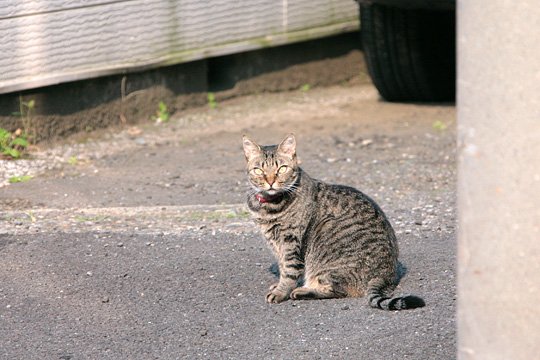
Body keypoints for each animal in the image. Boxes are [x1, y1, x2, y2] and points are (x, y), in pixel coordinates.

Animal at [243, 134, 424, 310]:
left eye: (282, 168)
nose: (270, 181)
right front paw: (278, 286)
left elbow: (289, 271)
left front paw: (281, 292)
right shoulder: (276, 243)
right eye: (259, 170)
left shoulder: (290, 241)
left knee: (337, 290)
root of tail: (385, 275)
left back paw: (304, 291)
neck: (269, 207)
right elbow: (282, 266)